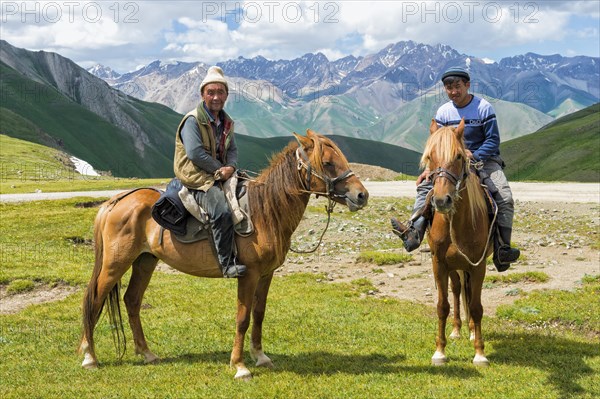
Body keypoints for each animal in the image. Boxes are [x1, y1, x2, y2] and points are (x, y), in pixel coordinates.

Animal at [78, 131, 370, 382]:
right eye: (328, 163)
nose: (362, 195)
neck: (265, 212)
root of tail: (114, 202)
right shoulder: (248, 274)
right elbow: (243, 318)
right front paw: (240, 366)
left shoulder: (267, 274)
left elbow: (259, 313)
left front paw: (260, 356)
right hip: (115, 264)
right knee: (94, 299)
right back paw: (90, 357)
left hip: (145, 261)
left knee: (132, 300)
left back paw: (147, 353)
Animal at [422, 118, 492, 366]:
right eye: (429, 157)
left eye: (459, 156)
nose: (442, 200)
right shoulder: (440, 264)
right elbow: (442, 306)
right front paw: (439, 351)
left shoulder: (478, 265)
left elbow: (477, 307)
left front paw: (479, 353)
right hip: (453, 268)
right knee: (457, 289)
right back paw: (456, 330)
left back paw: (470, 331)